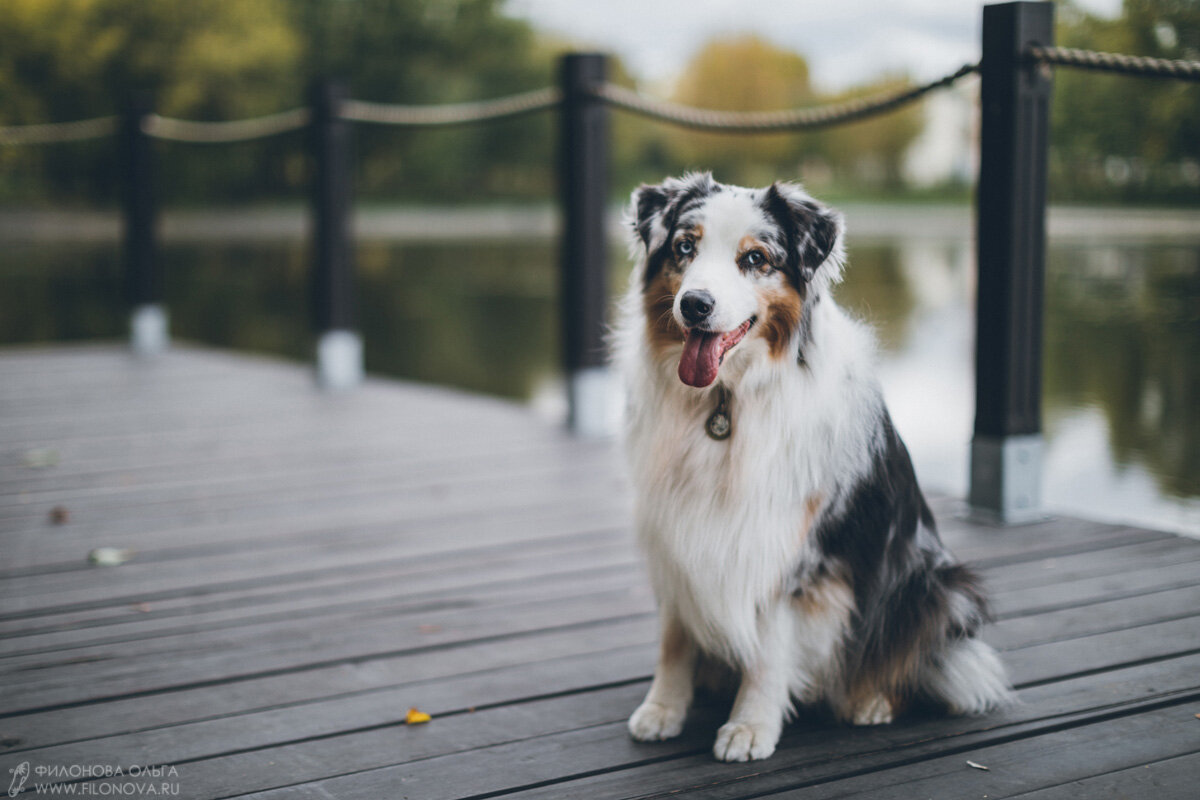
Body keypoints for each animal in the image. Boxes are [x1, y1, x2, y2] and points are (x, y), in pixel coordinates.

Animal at [609, 173, 1012, 762]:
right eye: (684, 248)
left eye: (755, 258)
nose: (695, 305)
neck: (725, 401)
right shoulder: (675, 533)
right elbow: (675, 637)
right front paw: (663, 708)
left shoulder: (791, 549)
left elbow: (769, 649)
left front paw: (750, 725)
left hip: (934, 585)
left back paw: (870, 700)